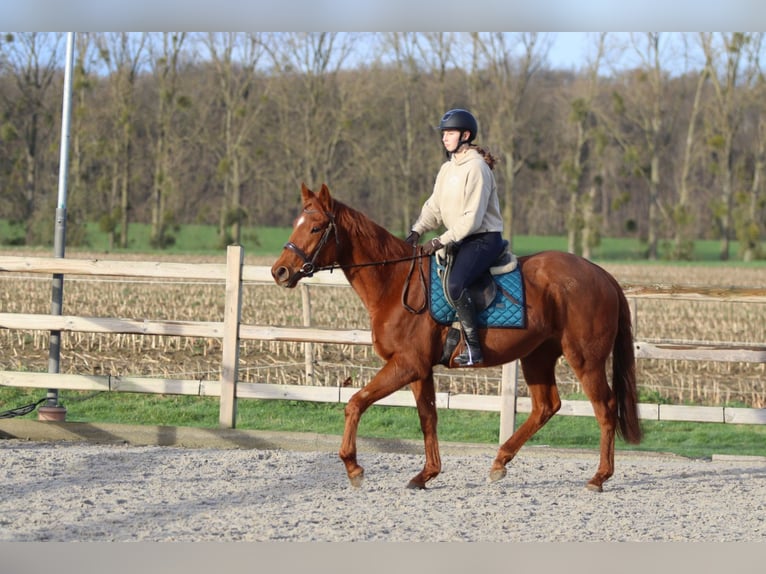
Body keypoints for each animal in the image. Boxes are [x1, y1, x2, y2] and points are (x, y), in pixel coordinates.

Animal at [271, 183, 642, 492]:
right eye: (296, 223)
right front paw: (426, 474)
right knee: (546, 406)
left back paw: (599, 477)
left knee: (605, 408)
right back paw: (500, 462)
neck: (395, 283)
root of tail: (602, 275)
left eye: (316, 227)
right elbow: (428, 417)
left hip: (585, 359)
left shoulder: (407, 364)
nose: (280, 271)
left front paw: (353, 468)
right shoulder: (418, 369)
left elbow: (355, 403)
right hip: (537, 356)